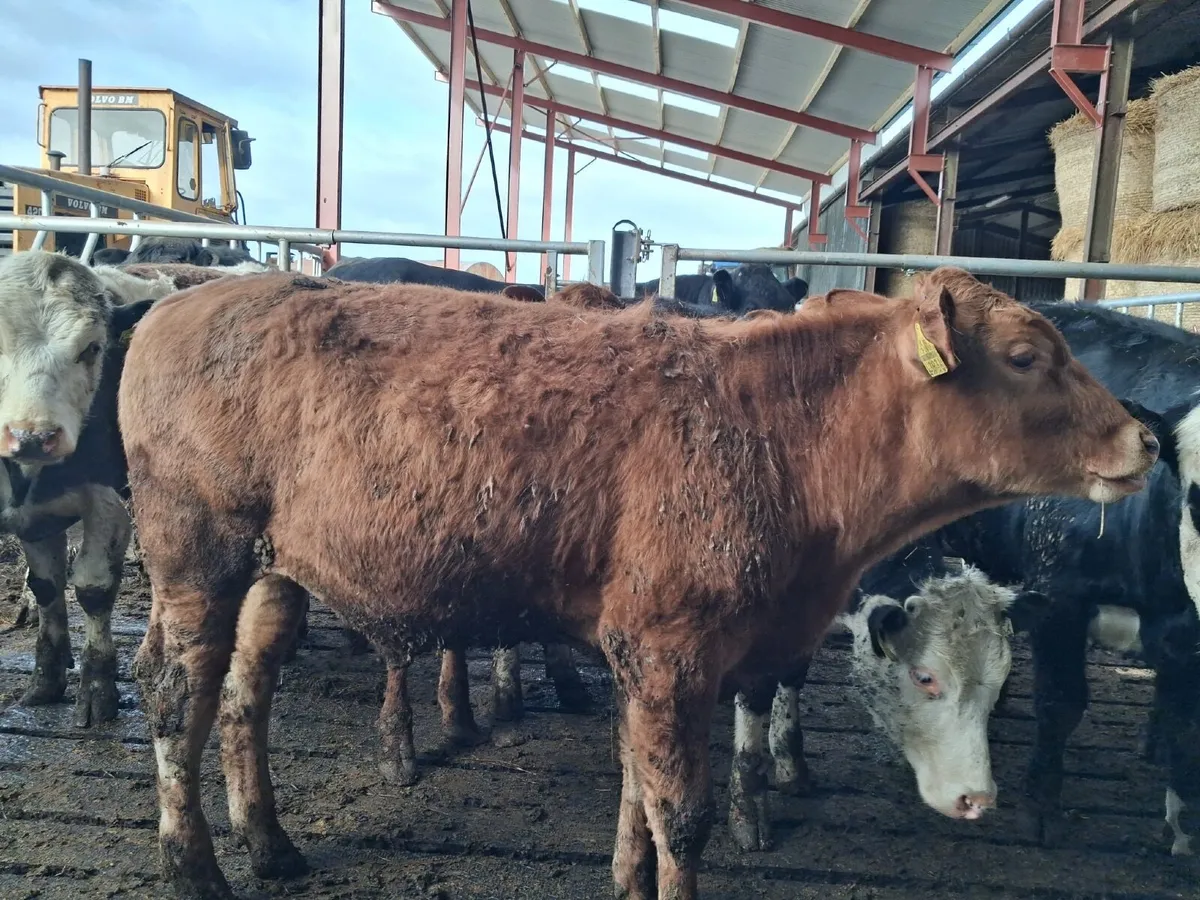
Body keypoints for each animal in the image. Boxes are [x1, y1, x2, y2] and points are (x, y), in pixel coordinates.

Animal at [0, 251, 157, 727]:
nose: (32, 436)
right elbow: (46, 586)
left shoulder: (108, 503)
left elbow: (93, 588)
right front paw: (47, 680)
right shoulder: (33, 518)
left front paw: (97, 688)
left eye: (91, 348)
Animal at [118, 267, 1157, 900]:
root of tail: (182, 302)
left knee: (241, 696)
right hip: (195, 553)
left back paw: (269, 844)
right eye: (1026, 357)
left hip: (271, 573)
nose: (1143, 437)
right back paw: (191, 865)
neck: (780, 436)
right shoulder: (671, 647)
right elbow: (678, 812)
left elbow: (635, 784)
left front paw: (624, 874)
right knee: (176, 696)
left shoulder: (649, 650)